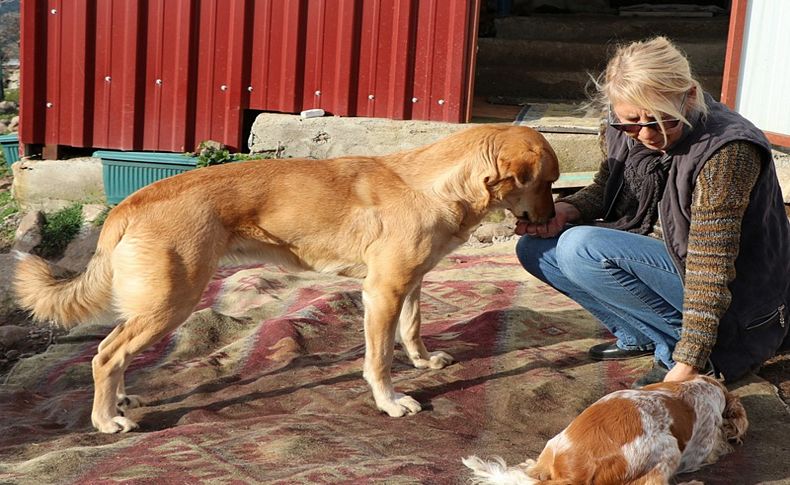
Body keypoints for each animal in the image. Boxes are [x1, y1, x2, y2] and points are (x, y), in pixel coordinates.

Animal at [12, 124, 556, 432]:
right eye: (546, 182)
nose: (554, 219)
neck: (436, 184)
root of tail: (129, 202)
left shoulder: (411, 284)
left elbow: (412, 329)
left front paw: (422, 362)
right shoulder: (381, 292)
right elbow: (380, 358)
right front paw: (390, 402)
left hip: (155, 304)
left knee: (115, 352)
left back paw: (121, 399)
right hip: (172, 301)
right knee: (105, 356)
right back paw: (106, 420)